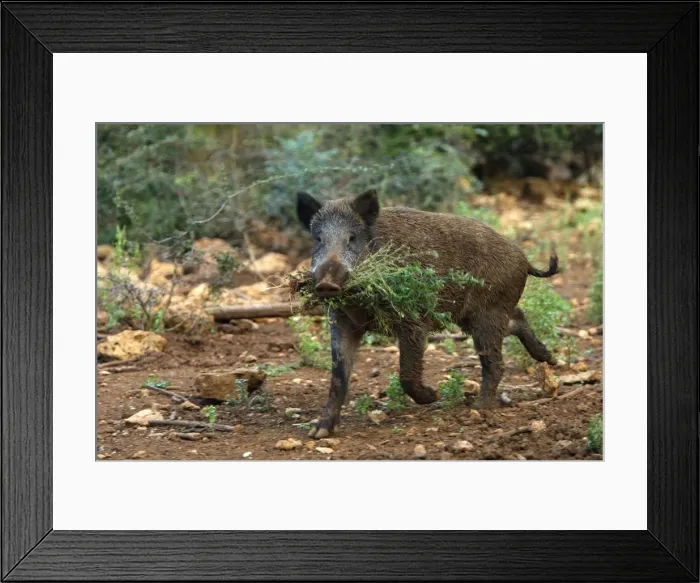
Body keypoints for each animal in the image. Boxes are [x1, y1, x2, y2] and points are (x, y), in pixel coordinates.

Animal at [296, 189, 558, 438]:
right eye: (318, 238)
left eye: (352, 238)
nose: (327, 283)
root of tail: (524, 260)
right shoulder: (342, 321)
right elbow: (338, 376)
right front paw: (318, 432)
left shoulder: (414, 320)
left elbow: (407, 373)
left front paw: (434, 396)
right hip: (473, 318)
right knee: (517, 320)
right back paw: (550, 359)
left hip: (487, 315)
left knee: (495, 362)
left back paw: (478, 406)